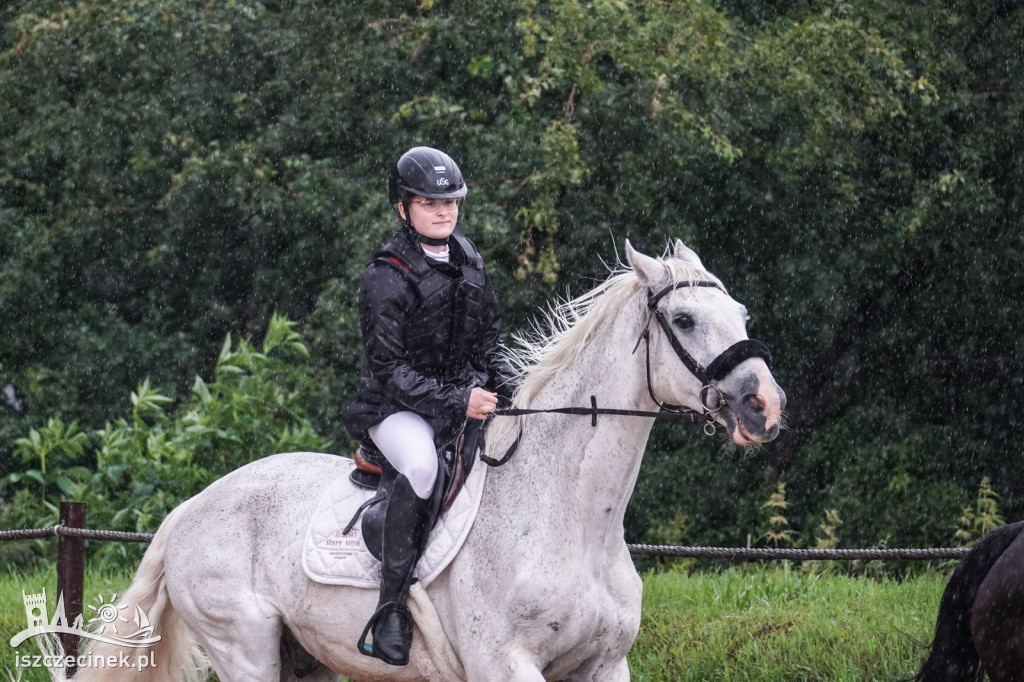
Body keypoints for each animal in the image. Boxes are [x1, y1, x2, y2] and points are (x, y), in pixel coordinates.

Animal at [64, 237, 782, 675]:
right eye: (684, 320)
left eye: (742, 313)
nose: (765, 407)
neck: (576, 518)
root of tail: (190, 508)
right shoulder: (505, 665)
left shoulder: (604, 666)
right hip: (245, 648)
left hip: (308, 657)